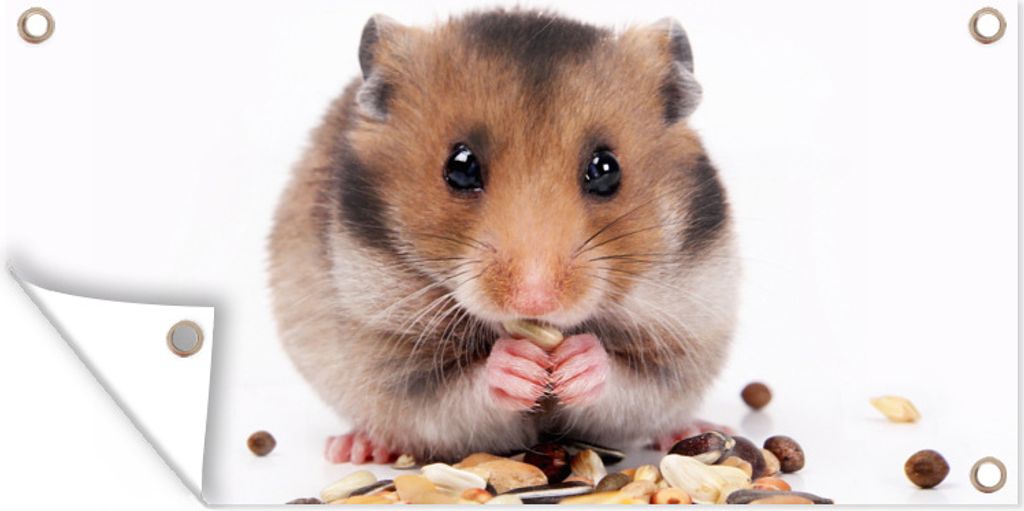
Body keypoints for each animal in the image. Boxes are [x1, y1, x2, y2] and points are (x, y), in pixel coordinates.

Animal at [268, 9, 739, 464]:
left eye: (606, 170)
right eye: (460, 167)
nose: (535, 301)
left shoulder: (685, 332)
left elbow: (631, 381)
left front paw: (576, 362)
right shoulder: (389, 353)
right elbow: (459, 390)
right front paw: (519, 366)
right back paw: (356, 448)